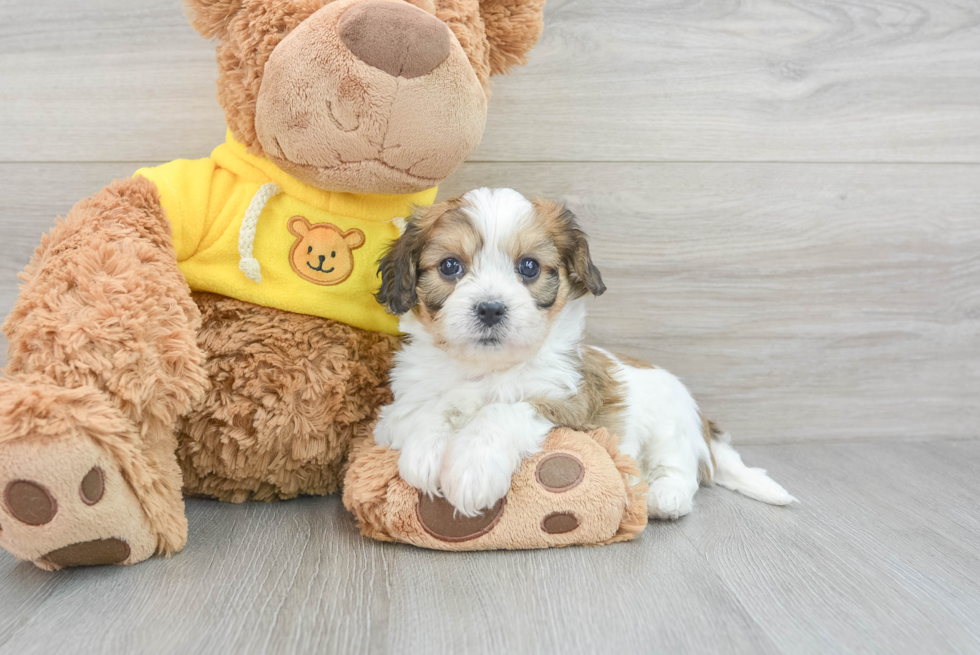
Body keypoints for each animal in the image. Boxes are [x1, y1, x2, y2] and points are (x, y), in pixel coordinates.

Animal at [372, 188, 792, 516]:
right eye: (450, 266)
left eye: (529, 267)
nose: (490, 308)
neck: (486, 368)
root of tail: (702, 422)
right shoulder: (395, 411)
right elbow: (429, 410)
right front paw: (425, 452)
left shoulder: (569, 403)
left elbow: (502, 411)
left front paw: (474, 466)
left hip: (671, 425)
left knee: (681, 469)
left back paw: (664, 497)